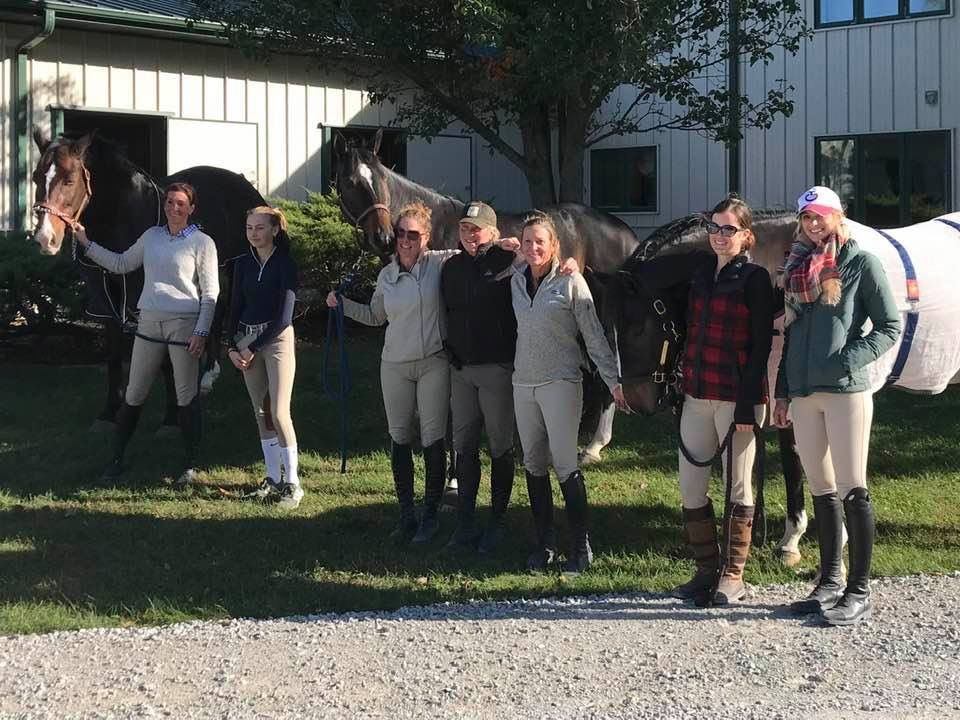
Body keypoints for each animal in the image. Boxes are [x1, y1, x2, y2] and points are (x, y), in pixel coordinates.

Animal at [31, 131, 264, 428]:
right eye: (36, 178)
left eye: (70, 179)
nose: (44, 238)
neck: (123, 214)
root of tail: (244, 183)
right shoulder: (105, 296)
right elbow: (114, 352)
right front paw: (109, 412)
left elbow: (164, 356)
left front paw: (172, 418)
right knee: (217, 307)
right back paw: (207, 377)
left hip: (237, 264)